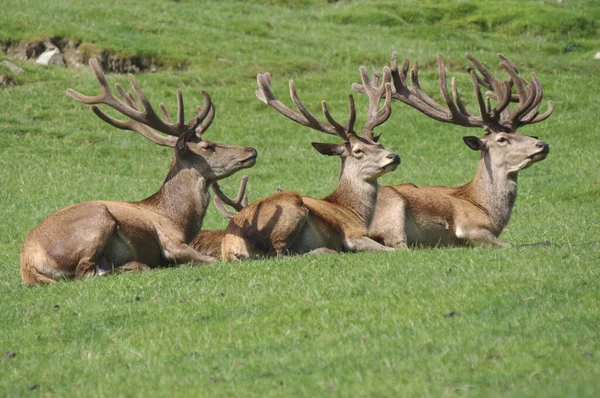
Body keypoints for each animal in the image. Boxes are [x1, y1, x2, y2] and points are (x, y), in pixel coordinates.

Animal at [19, 57, 255, 284]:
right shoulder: (171, 243)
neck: (177, 219)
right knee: (85, 272)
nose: (251, 150)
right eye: (207, 146)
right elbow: (215, 259)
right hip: (97, 219)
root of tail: (27, 266)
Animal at [219, 67, 398, 262]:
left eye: (379, 144)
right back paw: (325, 250)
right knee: (280, 254)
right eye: (358, 150)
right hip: (289, 208)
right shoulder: (352, 234)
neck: (353, 212)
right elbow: (396, 249)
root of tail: (230, 249)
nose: (394, 156)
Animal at [370, 51, 552, 247]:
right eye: (501, 139)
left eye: (521, 133)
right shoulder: (469, 226)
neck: (486, 210)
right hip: (394, 209)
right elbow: (512, 245)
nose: (543, 144)